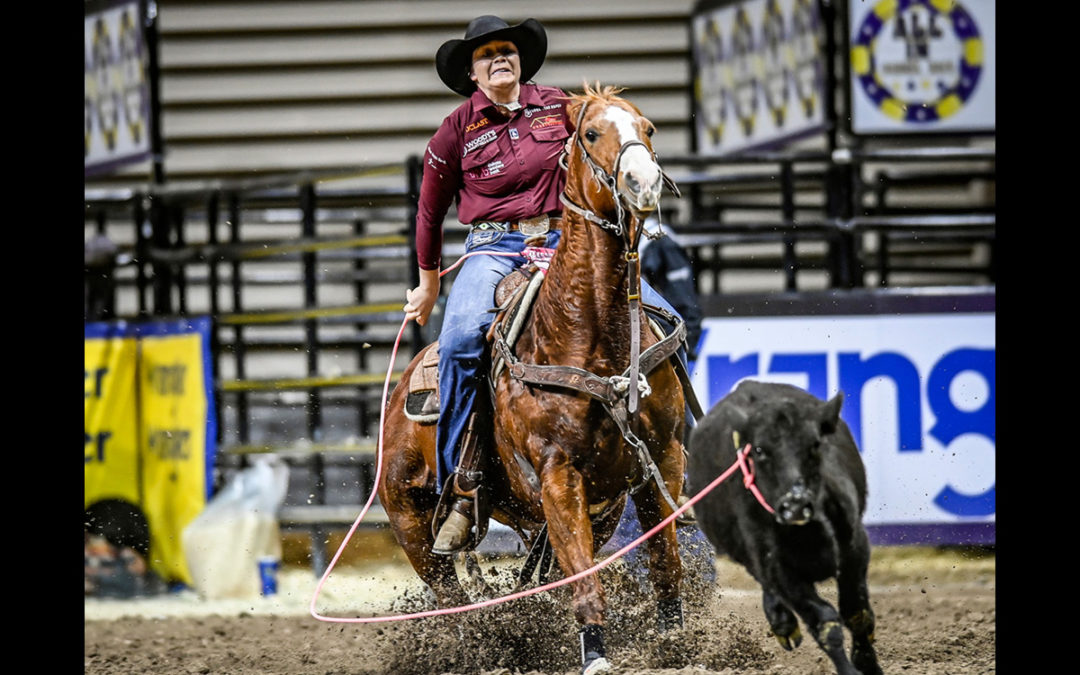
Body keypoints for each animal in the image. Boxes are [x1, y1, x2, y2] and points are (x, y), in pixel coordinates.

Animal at [375, 85, 686, 673]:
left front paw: (679, 643)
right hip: (409, 522)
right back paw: (479, 643)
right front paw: (596, 656)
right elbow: (586, 582)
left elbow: (665, 563)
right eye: (591, 133)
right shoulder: (558, 475)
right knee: (451, 596)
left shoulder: (659, 459)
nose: (643, 181)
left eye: (650, 128)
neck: (588, 333)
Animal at [686, 380, 881, 673]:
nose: (796, 505)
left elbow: (856, 613)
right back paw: (783, 623)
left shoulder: (854, 549)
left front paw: (868, 663)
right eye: (759, 450)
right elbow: (825, 622)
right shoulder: (777, 569)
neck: (807, 533)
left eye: (815, 445)